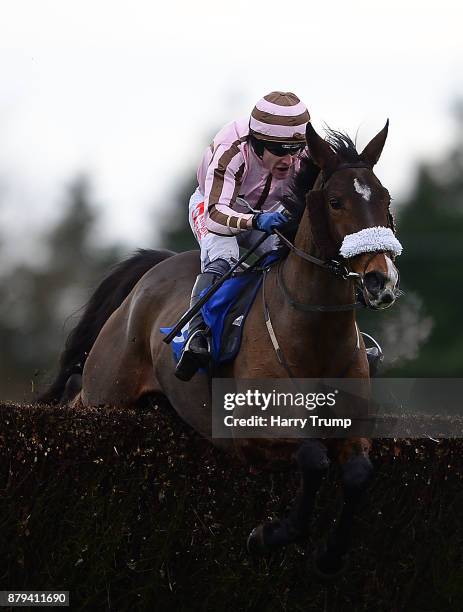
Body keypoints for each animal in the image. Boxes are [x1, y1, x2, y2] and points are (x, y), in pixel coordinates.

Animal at [40, 122, 402, 576]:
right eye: (336, 202)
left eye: (386, 199)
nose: (380, 280)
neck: (312, 337)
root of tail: (151, 273)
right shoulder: (251, 432)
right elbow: (314, 458)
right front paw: (268, 535)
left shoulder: (352, 428)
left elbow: (357, 474)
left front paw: (329, 554)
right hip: (107, 393)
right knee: (77, 395)